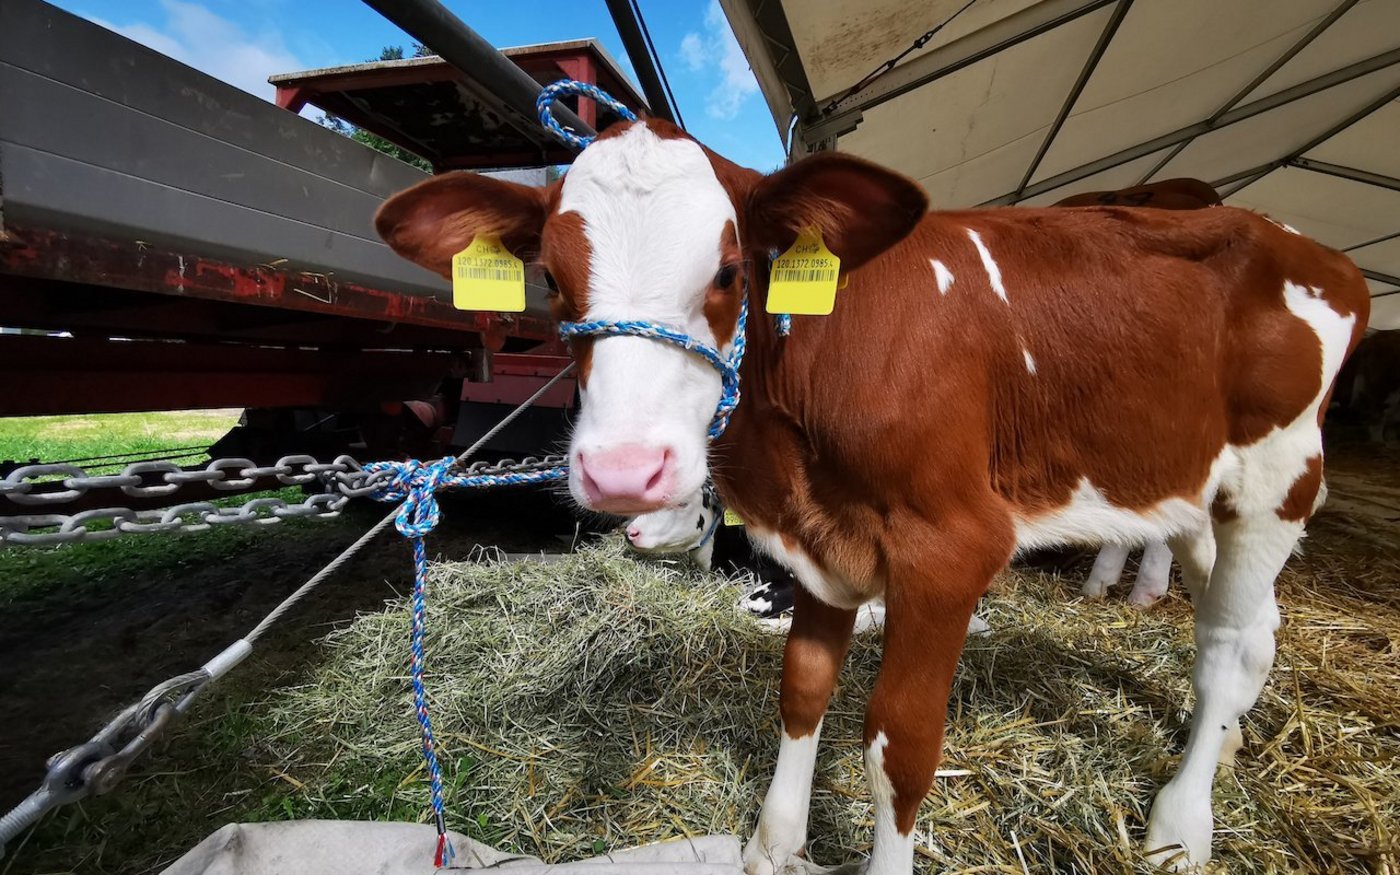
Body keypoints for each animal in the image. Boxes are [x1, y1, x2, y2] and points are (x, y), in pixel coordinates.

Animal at [374, 119, 1369, 874]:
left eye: (732, 271)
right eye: (551, 278)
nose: (625, 470)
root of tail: (1308, 245)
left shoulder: (950, 546)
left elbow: (902, 742)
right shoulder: (818, 535)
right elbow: (803, 688)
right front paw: (774, 843)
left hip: (1279, 477)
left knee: (1225, 647)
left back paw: (1179, 821)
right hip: (1194, 491)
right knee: (1251, 630)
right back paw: (1225, 745)